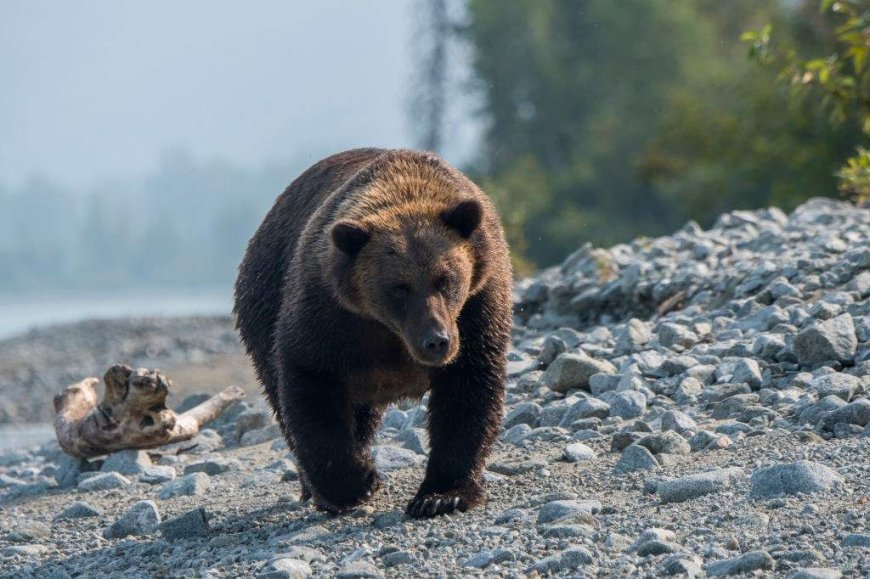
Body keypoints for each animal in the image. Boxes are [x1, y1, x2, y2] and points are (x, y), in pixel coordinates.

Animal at [234, 148, 512, 517]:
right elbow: (310, 382)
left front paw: (441, 495)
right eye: (399, 288)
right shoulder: (329, 310)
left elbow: (469, 385)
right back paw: (316, 487)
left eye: (446, 279)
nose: (436, 341)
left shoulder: (477, 303)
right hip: (263, 297)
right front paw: (355, 483)